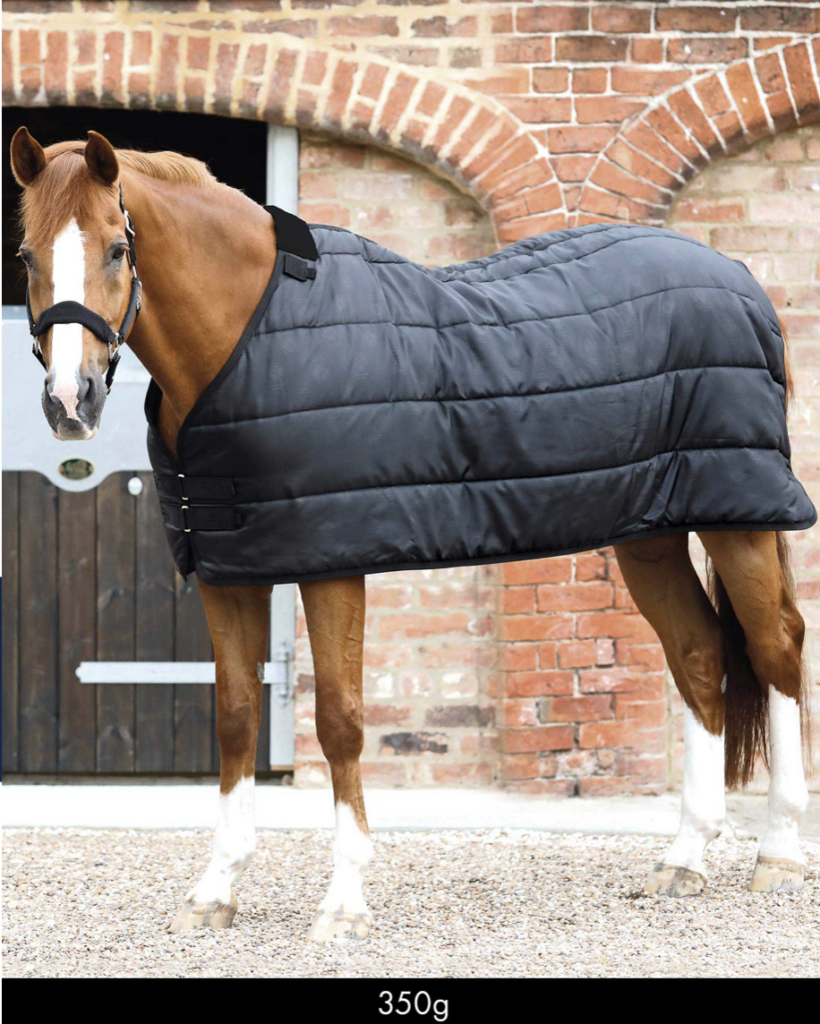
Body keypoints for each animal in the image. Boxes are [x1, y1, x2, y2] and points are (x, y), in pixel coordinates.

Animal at [10, 127, 811, 939]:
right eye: (26, 256)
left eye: (118, 249)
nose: (70, 402)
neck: (247, 337)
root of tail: (740, 279)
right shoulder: (225, 569)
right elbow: (235, 719)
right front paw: (216, 890)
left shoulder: (330, 560)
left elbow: (340, 720)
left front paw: (344, 902)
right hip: (652, 532)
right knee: (698, 652)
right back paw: (685, 858)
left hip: (737, 518)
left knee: (775, 648)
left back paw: (777, 852)